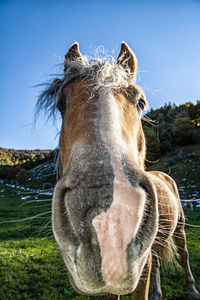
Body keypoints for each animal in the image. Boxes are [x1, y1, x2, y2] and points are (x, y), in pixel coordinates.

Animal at [36, 42, 199, 300]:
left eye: (141, 102)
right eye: (61, 104)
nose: (108, 219)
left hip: (181, 228)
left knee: (184, 255)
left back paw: (192, 289)